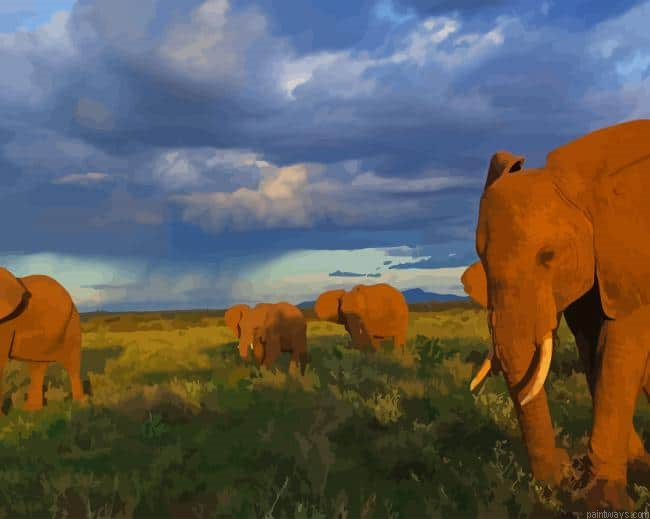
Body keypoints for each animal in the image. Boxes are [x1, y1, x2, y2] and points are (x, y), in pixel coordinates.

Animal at [0, 267, 83, 411]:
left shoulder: (7, 321)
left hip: (73, 325)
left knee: (73, 366)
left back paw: (81, 405)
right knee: (37, 366)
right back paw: (31, 410)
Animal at [461, 119, 650, 509]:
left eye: (547, 256)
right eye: (482, 262)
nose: (563, 470)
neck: (578, 185)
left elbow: (621, 346)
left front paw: (603, 500)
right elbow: (595, 348)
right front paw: (635, 470)